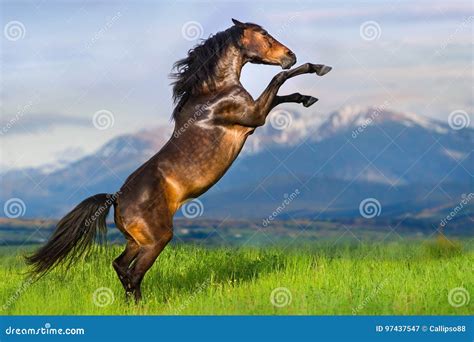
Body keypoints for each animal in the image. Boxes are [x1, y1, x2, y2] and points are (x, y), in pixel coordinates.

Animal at [25, 18, 330, 302]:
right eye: (264, 34)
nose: (290, 55)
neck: (213, 93)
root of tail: (116, 198)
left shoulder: (255, 115)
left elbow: (283, 93)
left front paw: (308, 97)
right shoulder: (254, 116)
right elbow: (279, 81)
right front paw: (317, 68)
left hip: (136, 241)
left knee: (121, 267)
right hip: (157, 239)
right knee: (134, 273)